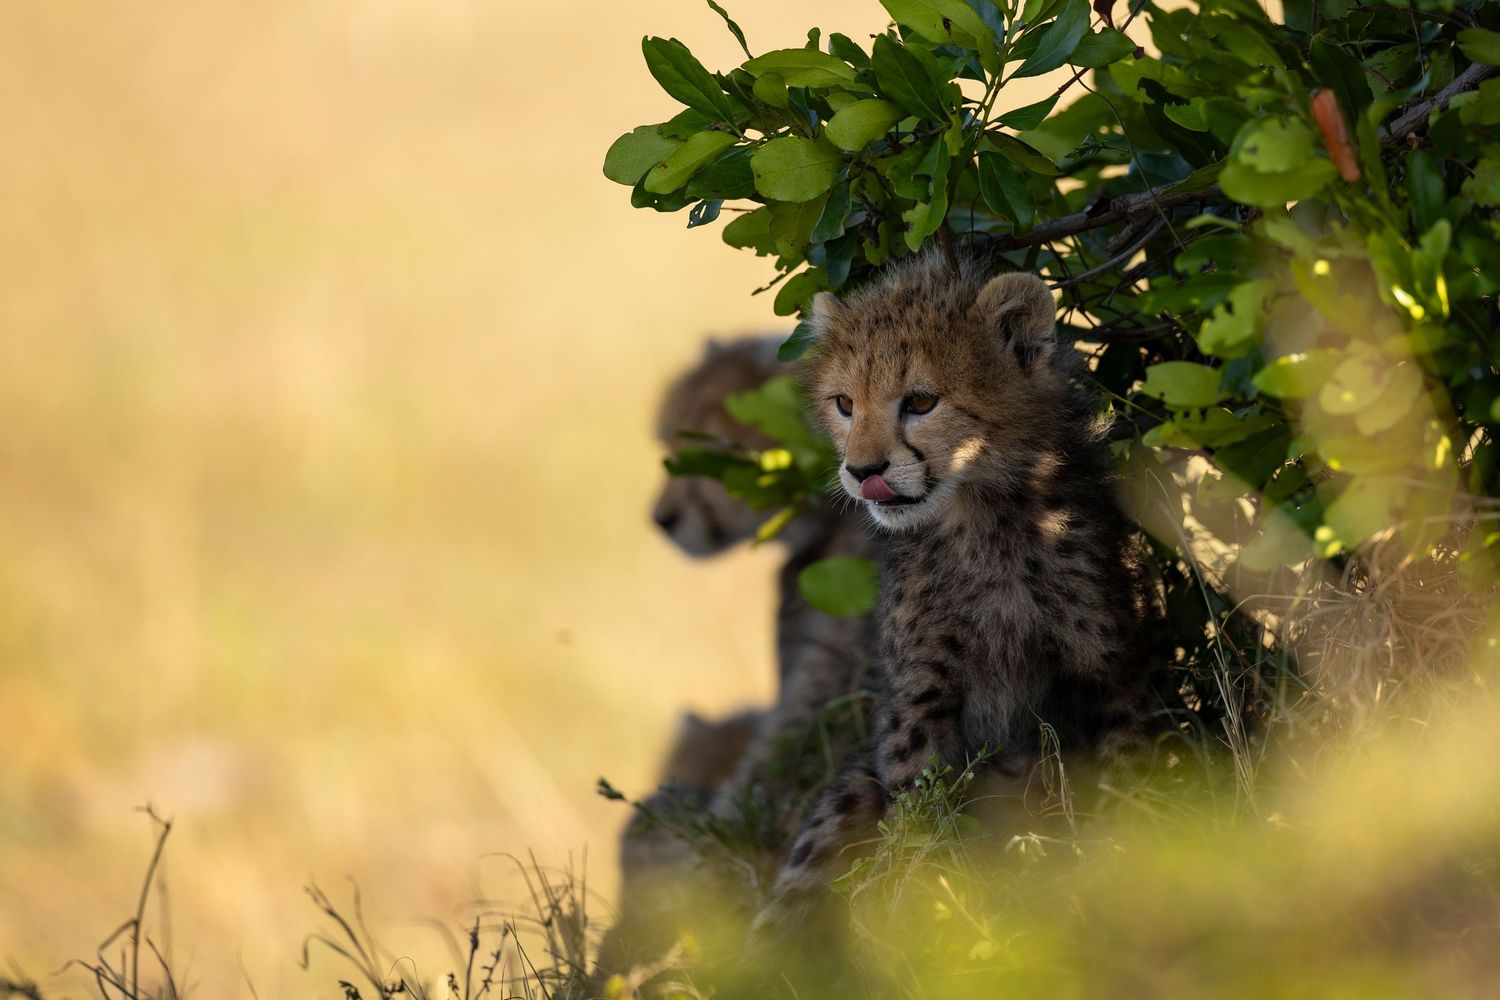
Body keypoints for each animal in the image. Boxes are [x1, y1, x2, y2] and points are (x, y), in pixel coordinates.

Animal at [753, 249, 1163, 936]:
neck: (983, 516)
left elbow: (1129, 781)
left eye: (920, 401)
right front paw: (930, 912)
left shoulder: (1114, 673)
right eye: (844, 403)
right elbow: (919, 813)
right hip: (852, 788)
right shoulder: (921, 700)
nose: (863, 471)